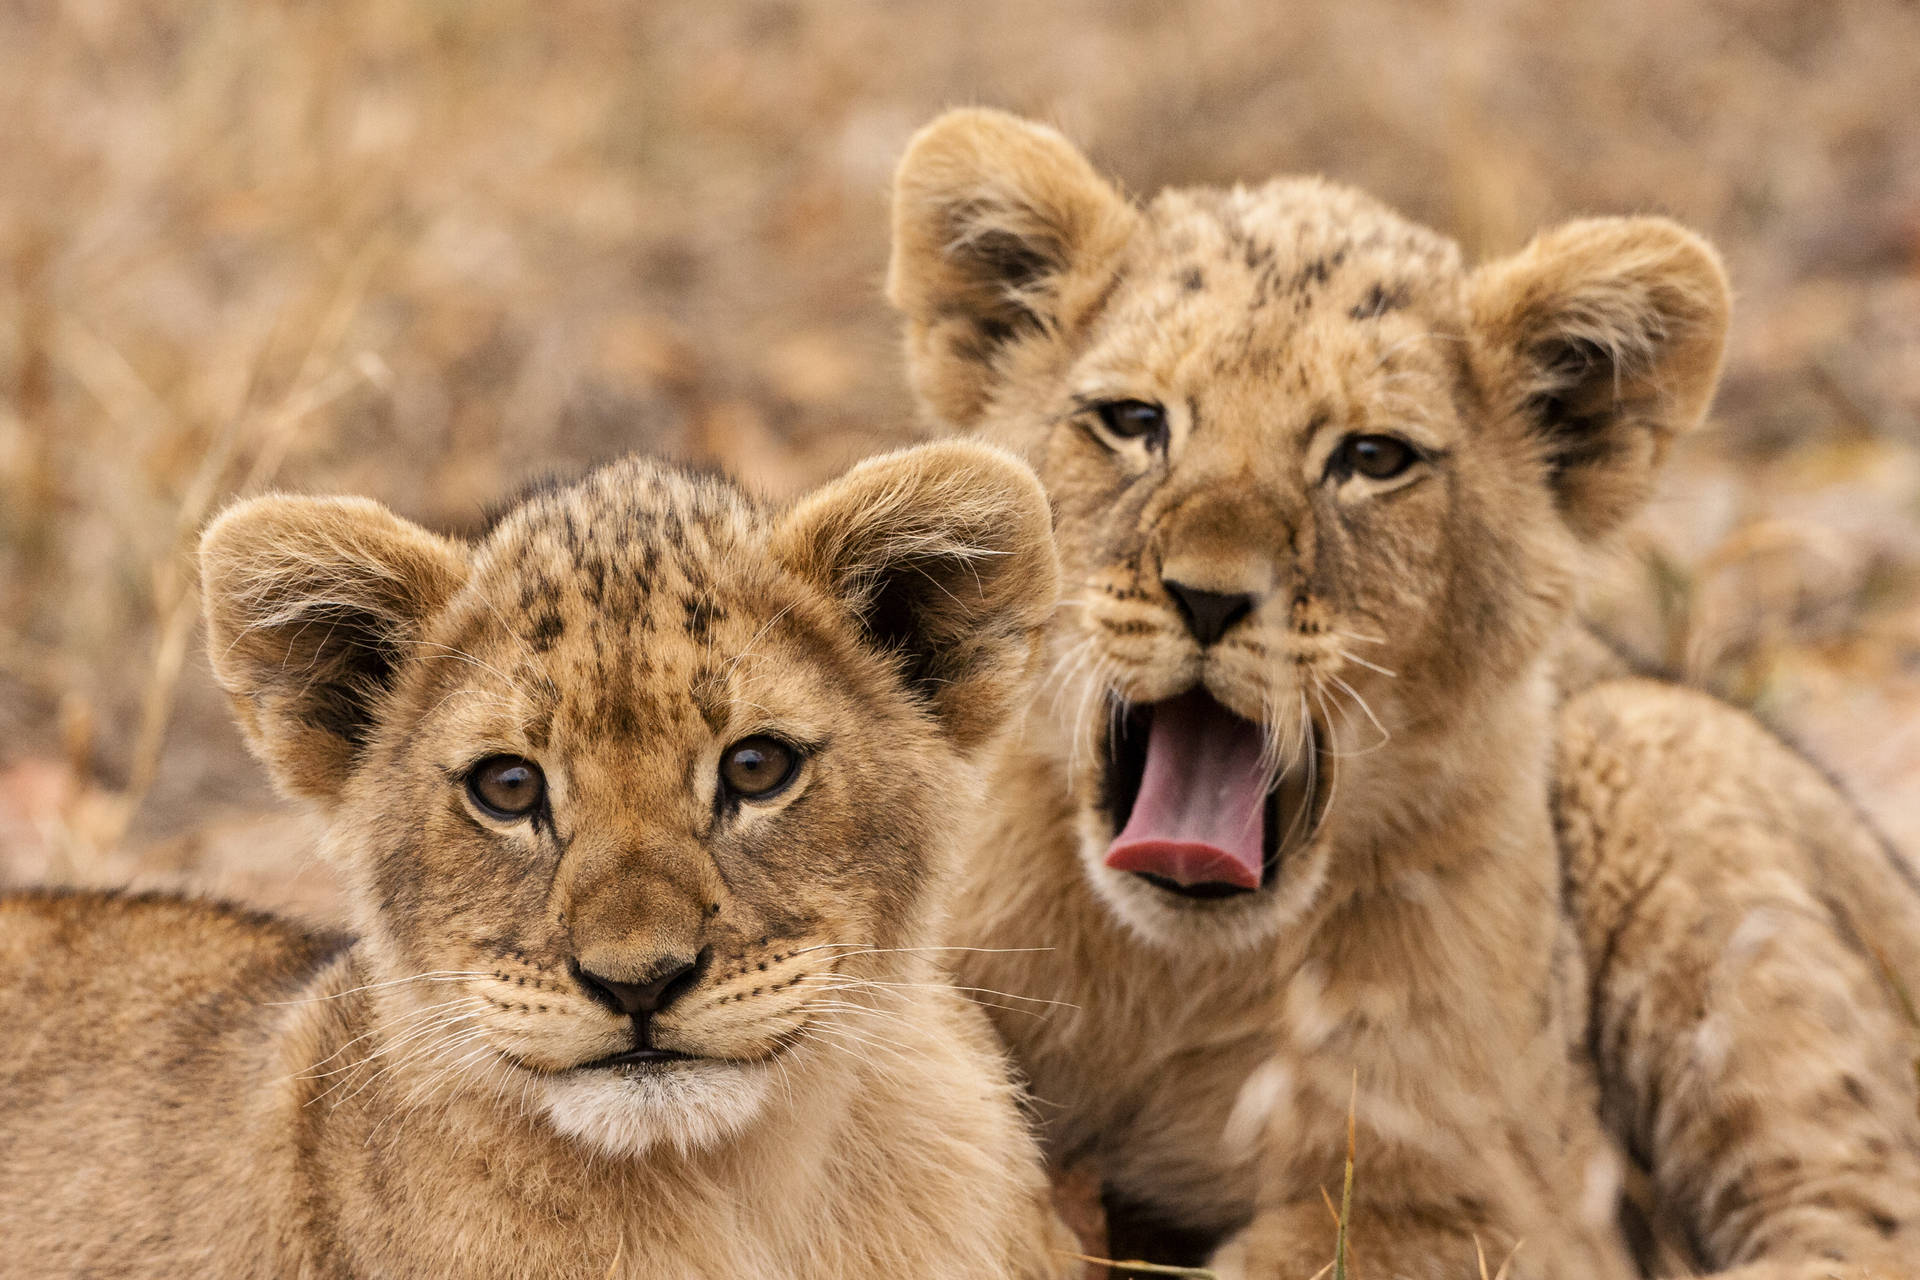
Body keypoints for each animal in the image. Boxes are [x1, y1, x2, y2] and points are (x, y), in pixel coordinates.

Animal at [884, 108, 1920, 1278]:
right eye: (1133, 420)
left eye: (1373, 457)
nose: (1208, 597)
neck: (1168, 979)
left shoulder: (1502, 1207)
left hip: (1660, 756)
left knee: (1858, 1203)